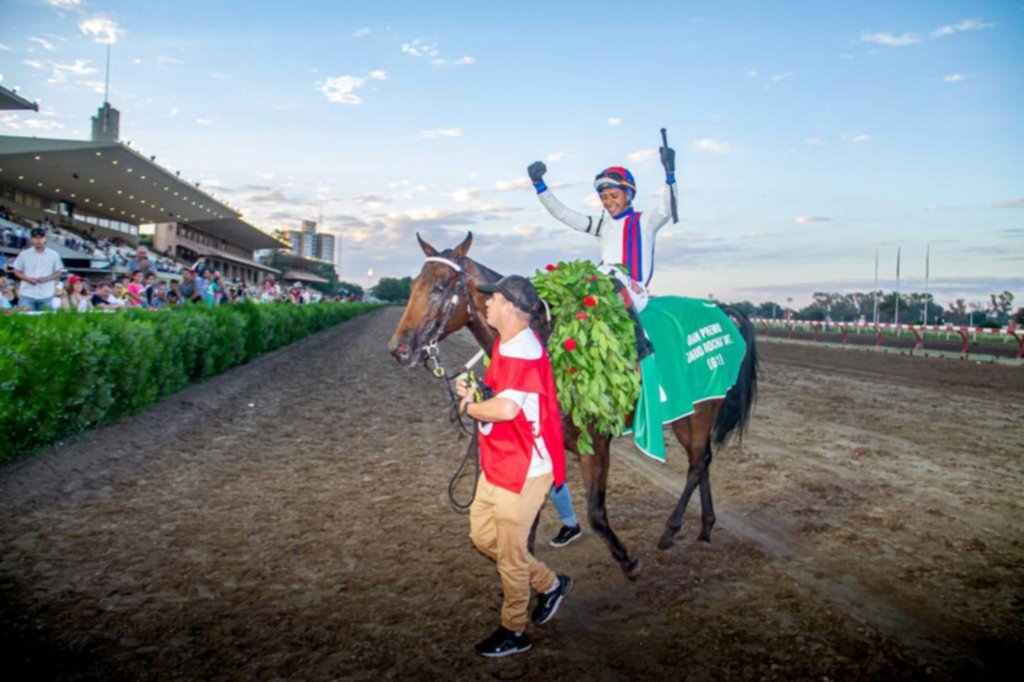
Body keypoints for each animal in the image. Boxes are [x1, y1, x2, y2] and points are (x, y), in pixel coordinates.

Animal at [387, 231, 757, 577]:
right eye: (413, 285)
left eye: (439, 286)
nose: (399, 349)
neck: (545, 342)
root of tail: (719, 308)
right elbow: (532, 511)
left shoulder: (595, 444)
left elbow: (595, 512)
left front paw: (626, 560)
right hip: (684, 411)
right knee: (703, 460)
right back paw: (705, 527)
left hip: (702, 407)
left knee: (697, 463)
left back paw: (671, 530)